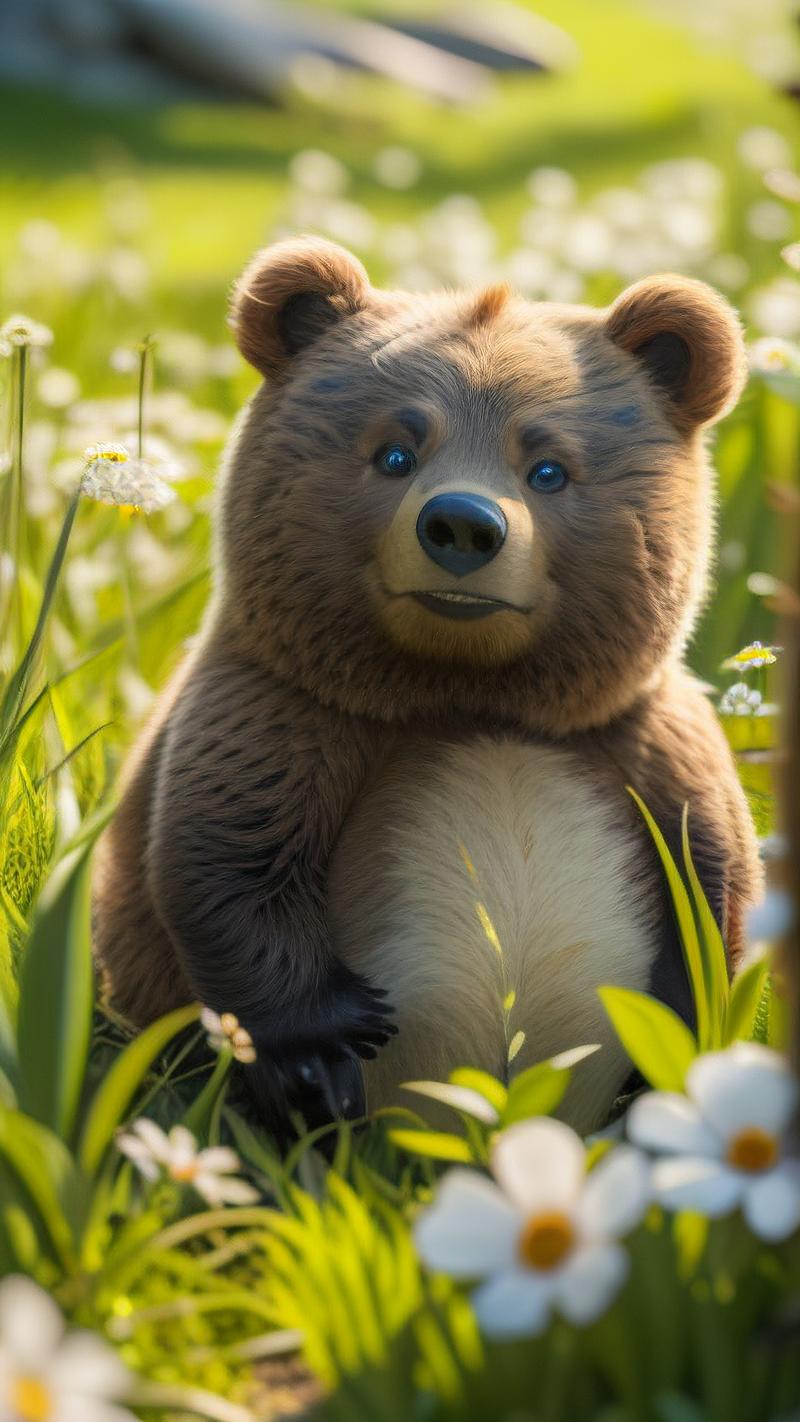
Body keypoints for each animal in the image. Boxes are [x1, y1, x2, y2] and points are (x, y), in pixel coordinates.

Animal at [92, 236, 762, 1135]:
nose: (463, 525)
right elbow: (228, 864)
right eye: (395, 452)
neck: (470, 693)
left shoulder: (644, 738)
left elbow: (709, 891)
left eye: (547, 467)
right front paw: (323, 1059)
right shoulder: (289, 710)